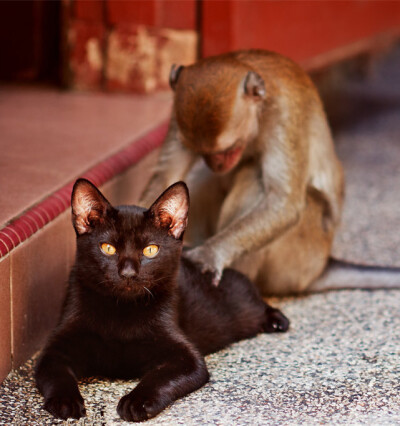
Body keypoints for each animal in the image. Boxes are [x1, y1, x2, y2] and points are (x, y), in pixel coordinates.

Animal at [34, 178, 288, 422]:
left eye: (150, 250)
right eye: (108, 248)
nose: (128, 273)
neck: (122, 311)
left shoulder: (188, 359)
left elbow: (159, 376)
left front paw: (137, 402)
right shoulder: (54, 350)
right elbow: (57, 374)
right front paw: (65, 402)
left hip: (239, 302)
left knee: (253, 301)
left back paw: (277, 320)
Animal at [139, 50, 398, 294]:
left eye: (227, 150)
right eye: (201, 151)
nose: (217, 165)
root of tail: (321, 266)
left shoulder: (282, 113)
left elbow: (284, 202)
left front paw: (210, 254)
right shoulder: (176, 116)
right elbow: (165, 175)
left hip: (302, 255)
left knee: (253, 177)